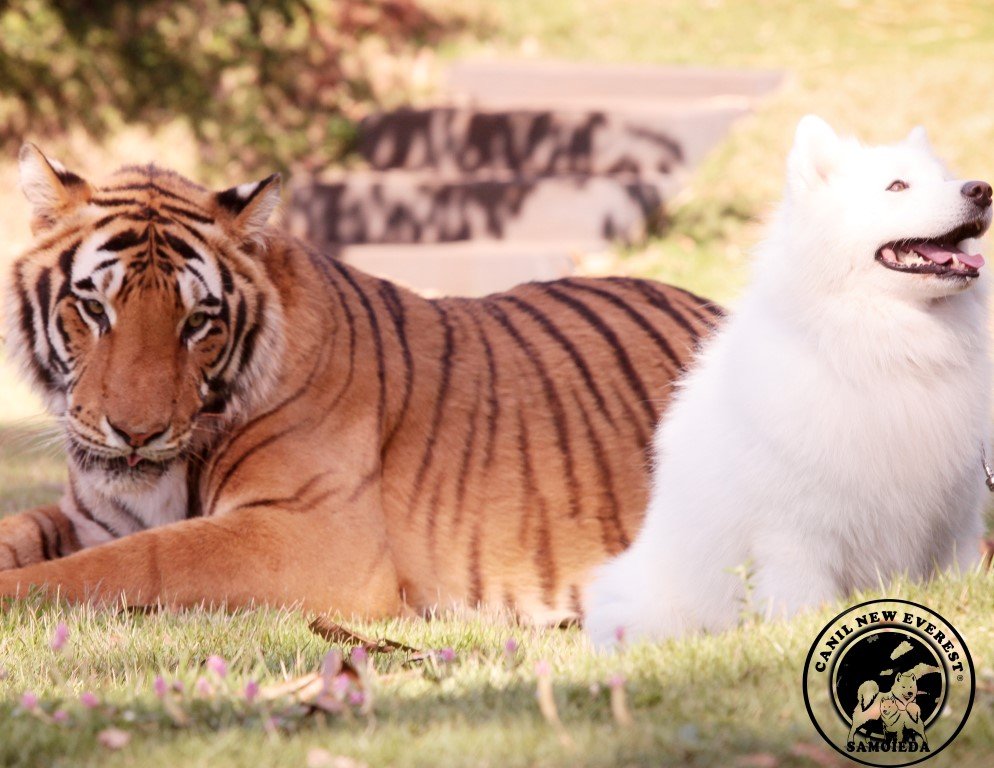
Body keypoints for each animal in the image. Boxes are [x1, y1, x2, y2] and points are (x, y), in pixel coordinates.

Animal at [0, 144, 721, 623]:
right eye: (95, 309)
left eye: (197, 321)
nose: (137, 433)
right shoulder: (89, 514)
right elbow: (24, 531)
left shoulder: (313, 536)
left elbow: (129, 564)